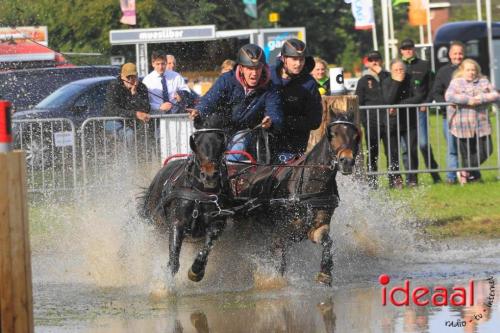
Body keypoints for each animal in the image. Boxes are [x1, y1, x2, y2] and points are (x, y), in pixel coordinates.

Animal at [137, 115, 230, 282]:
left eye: (221, 140)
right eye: (197, 141)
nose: (210, 175)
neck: (200, 194)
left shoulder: (217, 224)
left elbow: (206, 249)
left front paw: (196, 270)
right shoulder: (177, 223)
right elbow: (174, 260)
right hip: (154, 219)